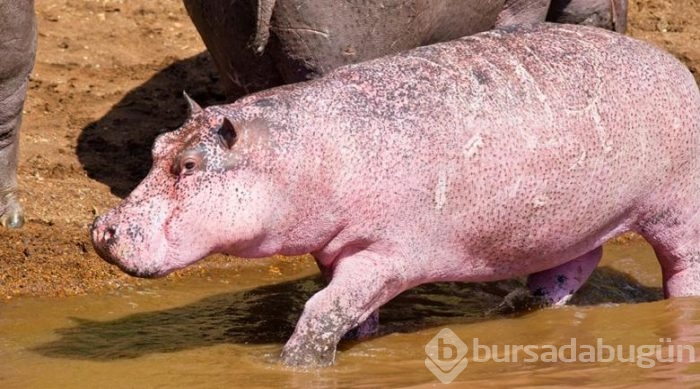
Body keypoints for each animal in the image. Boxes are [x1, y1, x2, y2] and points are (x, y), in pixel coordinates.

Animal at [91, 22, 700, 366]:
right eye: (157, 145)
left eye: (190, 164)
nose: (102, 228)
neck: (302, 156)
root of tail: (674, 63)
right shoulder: (335, 250)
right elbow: (350, 312)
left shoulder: (386, 254)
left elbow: (321, 311)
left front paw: (283, 365)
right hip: (565, 221)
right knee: (569, 269)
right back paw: (512, 307)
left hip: (676, 212)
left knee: (681, 271)